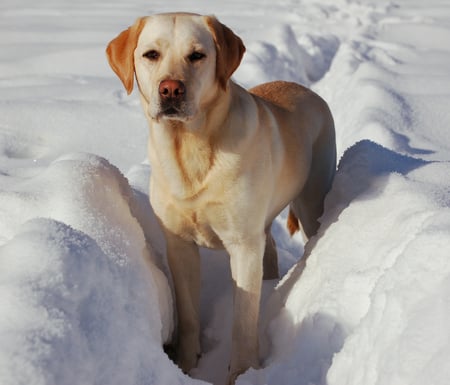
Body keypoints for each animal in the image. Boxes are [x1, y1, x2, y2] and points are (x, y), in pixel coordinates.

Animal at [106, 12, 334, 384]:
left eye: (197, 55)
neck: (190, 148)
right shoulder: (179, 244)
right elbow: (188, 315)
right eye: (151, 54)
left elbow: (243, 323)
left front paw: (242, 374)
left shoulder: (243, 245)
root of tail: (307, 90)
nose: (171, 89)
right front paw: (186, 366)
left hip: (311, 200)